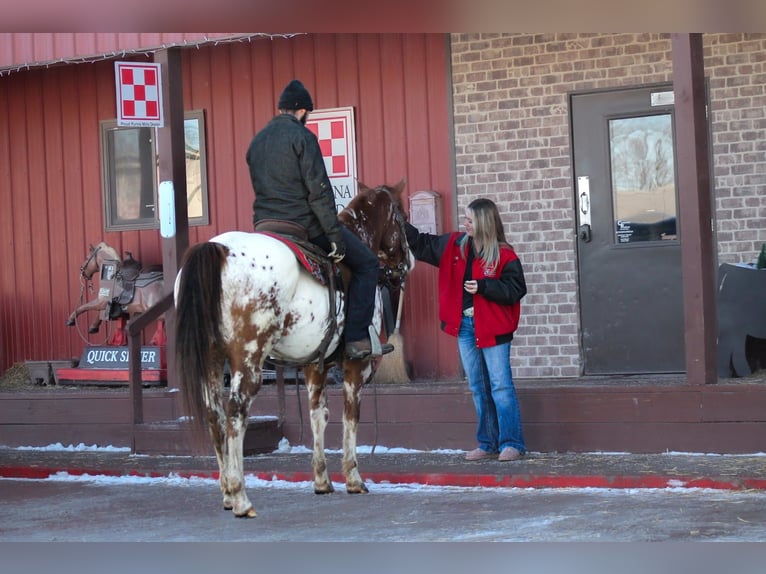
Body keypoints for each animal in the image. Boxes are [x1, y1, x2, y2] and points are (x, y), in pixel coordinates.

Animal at [174, 179, 413, 518]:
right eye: (402, 218)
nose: (405, 265)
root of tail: (217, 249)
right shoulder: (356, 366)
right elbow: (351, 417)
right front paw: (353, 478)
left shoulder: (315, 364)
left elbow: (318, 416)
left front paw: (322, 480)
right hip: (248, 360)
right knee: (235, 413)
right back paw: (240, 496)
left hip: (211, 359)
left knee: (214, 415)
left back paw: (226, 494)